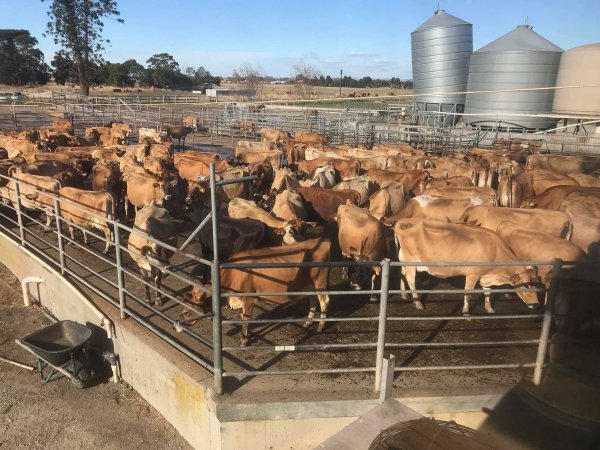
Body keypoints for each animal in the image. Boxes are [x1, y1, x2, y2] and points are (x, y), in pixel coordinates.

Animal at [183, 237, 332, 346]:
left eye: (186, 311)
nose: (178, 327)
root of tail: (323, 240)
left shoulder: (248, 300)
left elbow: (245, 320)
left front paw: (243, 341)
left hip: (320, 281)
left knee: (324, 301)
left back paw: (320, 326)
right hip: (310, 285)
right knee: (313, 299)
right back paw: (308, 322)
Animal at [392, 218, 540, 312]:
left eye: (536, 284)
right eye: (526, 285)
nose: (536, 304)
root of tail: (402, 221)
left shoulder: (485, 275)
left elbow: (488, 292)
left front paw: (489, 308)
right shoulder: (472, 274)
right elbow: (468, 294)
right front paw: (466, 312)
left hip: (404, 259)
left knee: (402, 273)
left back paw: (404, 294)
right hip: (412, 261)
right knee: (411, 279)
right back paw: (417, 302)